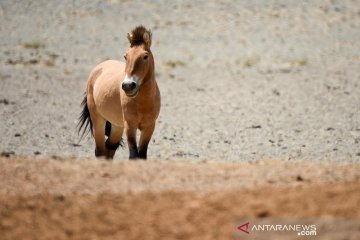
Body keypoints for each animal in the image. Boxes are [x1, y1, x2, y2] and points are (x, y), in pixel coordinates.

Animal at [78, 25, 161, 159]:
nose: (128, 85)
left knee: (110, 147)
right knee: (100, 151)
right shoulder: (130, 126)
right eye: (125, 56)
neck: (143, 103)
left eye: (145, 56)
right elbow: (134, 155)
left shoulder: (149, 127)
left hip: (117, 126)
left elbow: (142, 156)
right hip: (98, 120)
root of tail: (98, 69)